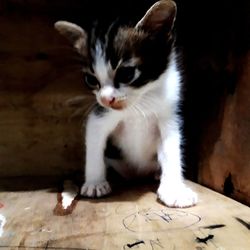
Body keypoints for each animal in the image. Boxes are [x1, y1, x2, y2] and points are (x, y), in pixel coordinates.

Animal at [54, 0, 197, 207]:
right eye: (91, 79)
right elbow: (95, 145)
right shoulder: (99, 115)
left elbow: (171, 149)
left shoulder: (169, 115)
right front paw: (95, 182)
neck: (139, 102)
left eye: (126, 74)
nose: (106, 98)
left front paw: (174, 190)